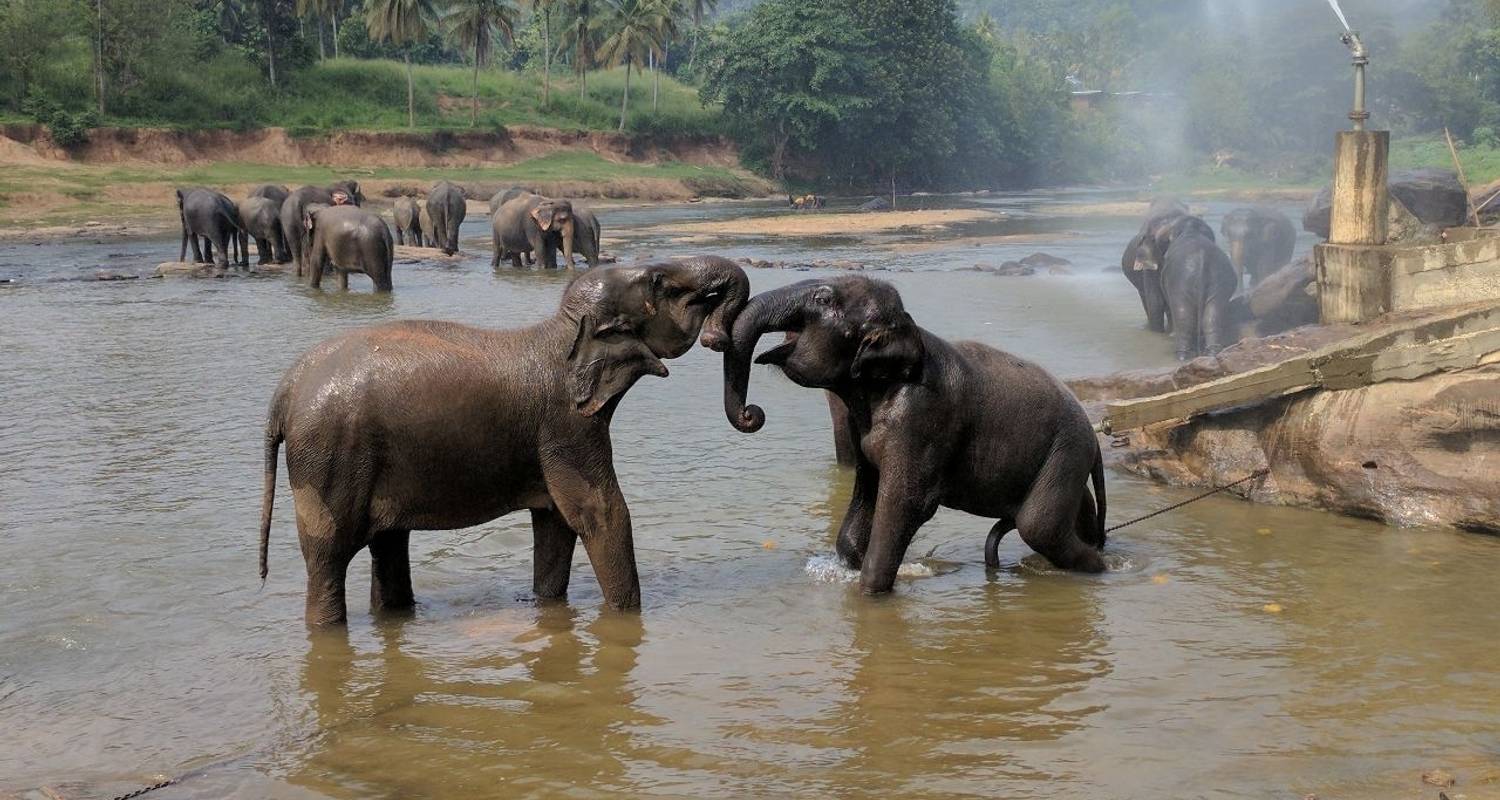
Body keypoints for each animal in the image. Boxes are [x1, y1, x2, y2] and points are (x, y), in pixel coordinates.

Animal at [261, 255, 750, 624]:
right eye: (659, 282)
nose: (715, 335)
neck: (560, 331)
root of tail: (285, 391)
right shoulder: (565, 425)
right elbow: (601, 513)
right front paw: (627, 619)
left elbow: (555, 522)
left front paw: (548, 609)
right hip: (329, 457)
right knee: (327, 560)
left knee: (388, 545)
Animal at [720, 274, 1110, 591]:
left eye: (823, 299)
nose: (752, 413)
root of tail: (1094, 437)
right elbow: (867, 493)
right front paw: (853, 565)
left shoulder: (920, 418)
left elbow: (906, 503)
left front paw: (870, 594)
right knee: (1073, 512)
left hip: (1066, 450)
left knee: (1038, 526)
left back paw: (1101, 569)